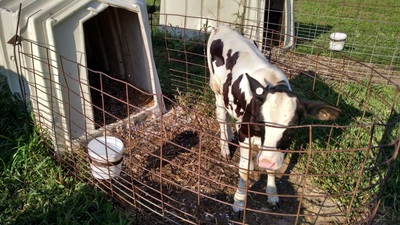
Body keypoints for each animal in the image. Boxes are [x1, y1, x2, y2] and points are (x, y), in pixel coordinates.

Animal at [206, 25, 340, 211]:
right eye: (261, 122)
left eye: (291, 129)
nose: (265, 162)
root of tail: (222, 27)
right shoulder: (246, 134)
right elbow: (244, 171)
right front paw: (239, 201)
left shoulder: (277, 148)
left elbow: (272, 169)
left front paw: (272, 194)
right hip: (217, 89)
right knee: (221, 117)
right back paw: (225, 147)